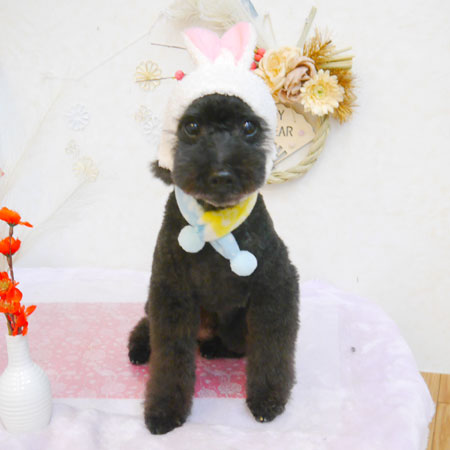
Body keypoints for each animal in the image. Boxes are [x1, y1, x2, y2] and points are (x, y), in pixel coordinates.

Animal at [128, 92, 299, 435]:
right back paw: (139, 347)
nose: (222, 175)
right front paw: (165, 409)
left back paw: (214, 348)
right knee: (146, 324)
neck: (215, 219)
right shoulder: (170, 291)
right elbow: (169, 356)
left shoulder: (276, 285)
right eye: (192, 127)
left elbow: (272, 348)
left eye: (248, 126)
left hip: (236, 326)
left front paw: (268, 399)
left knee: (238, 345)